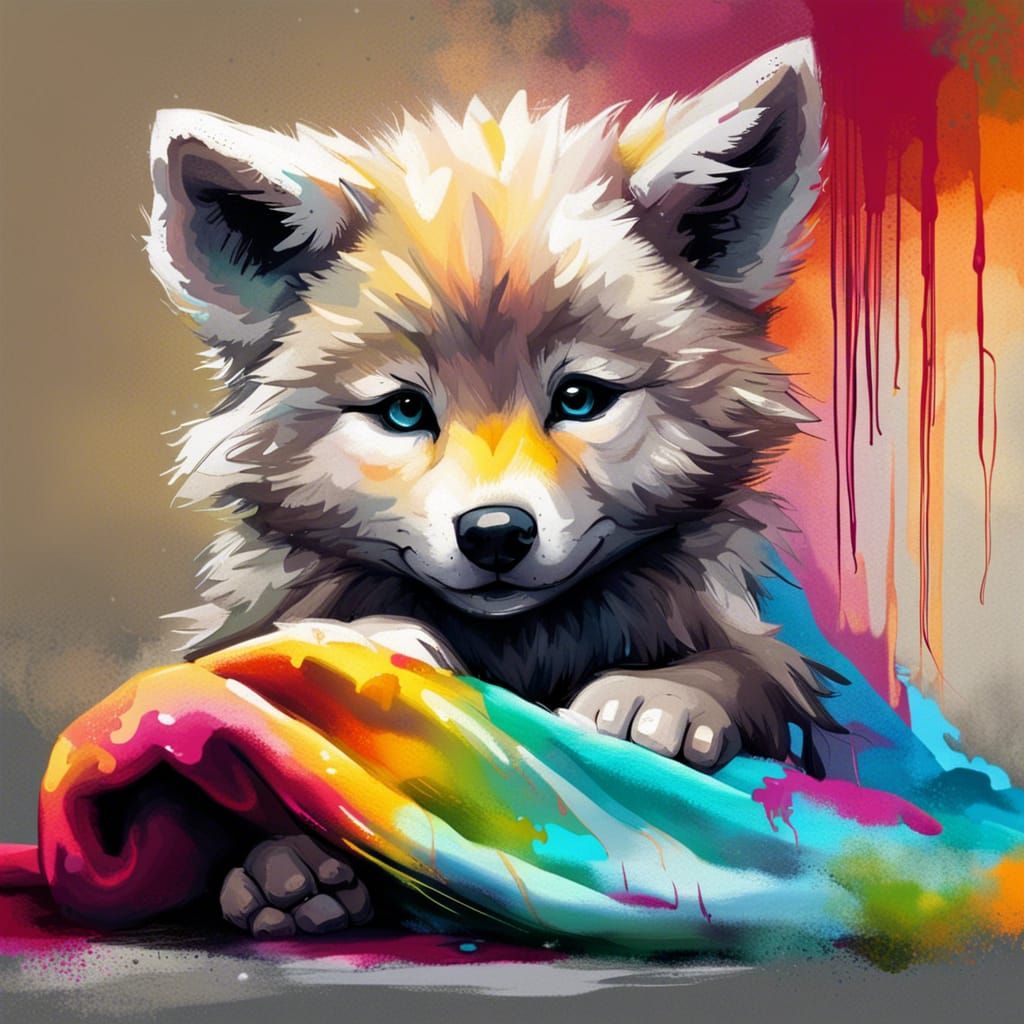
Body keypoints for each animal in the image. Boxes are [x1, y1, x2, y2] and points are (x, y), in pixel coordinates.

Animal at [146, 40, 843, 937]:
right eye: (404, 411)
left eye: (579, 398)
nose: (496, 534)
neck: (521, 650)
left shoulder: (766, 658)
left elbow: (746, 670)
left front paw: (662, 697)